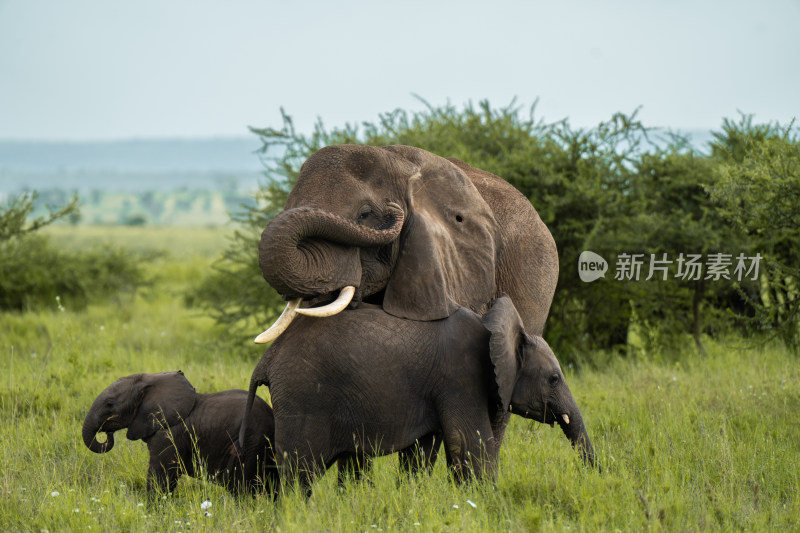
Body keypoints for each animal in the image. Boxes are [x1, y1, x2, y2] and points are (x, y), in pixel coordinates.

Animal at [83, 370, 278, 494]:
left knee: (242, 486)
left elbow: (160, 474)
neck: (149, 382)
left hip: (252, 442)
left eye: (109, 404)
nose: (106, 431)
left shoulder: (169, 434)